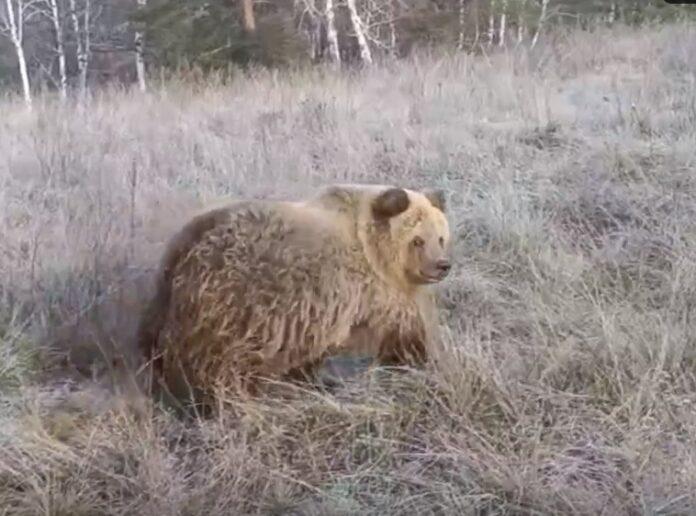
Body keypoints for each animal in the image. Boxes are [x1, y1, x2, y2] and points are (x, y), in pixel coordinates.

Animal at [136, 183, 452, 406]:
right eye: (417, 240)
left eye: (441, 237)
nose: (441, 266)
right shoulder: (370, 292)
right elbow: (407, 338)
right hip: (230, 305)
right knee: (219, 365)